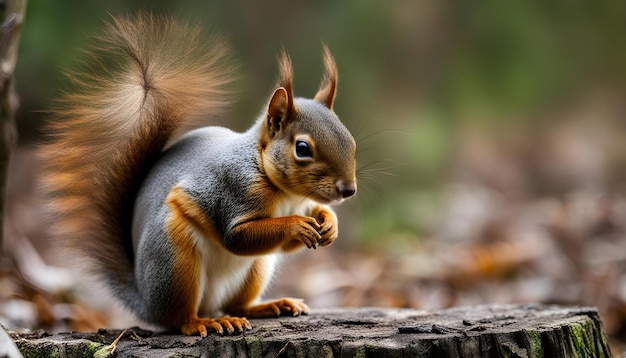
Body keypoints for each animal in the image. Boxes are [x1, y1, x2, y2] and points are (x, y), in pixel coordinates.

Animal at [40, 14, 356, 338]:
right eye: (302, 148)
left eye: (350, 139)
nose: (349, 189)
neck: (285, 193)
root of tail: (146, 302)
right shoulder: (232, 190)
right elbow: (238, 237)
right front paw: (296, 225)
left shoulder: (301, 204)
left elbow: (306, 222)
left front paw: (330, 224)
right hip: (174, 259)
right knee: (180, 318)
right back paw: (206, 322)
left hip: (256, 268)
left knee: (237, 304)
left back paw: (270, 305)